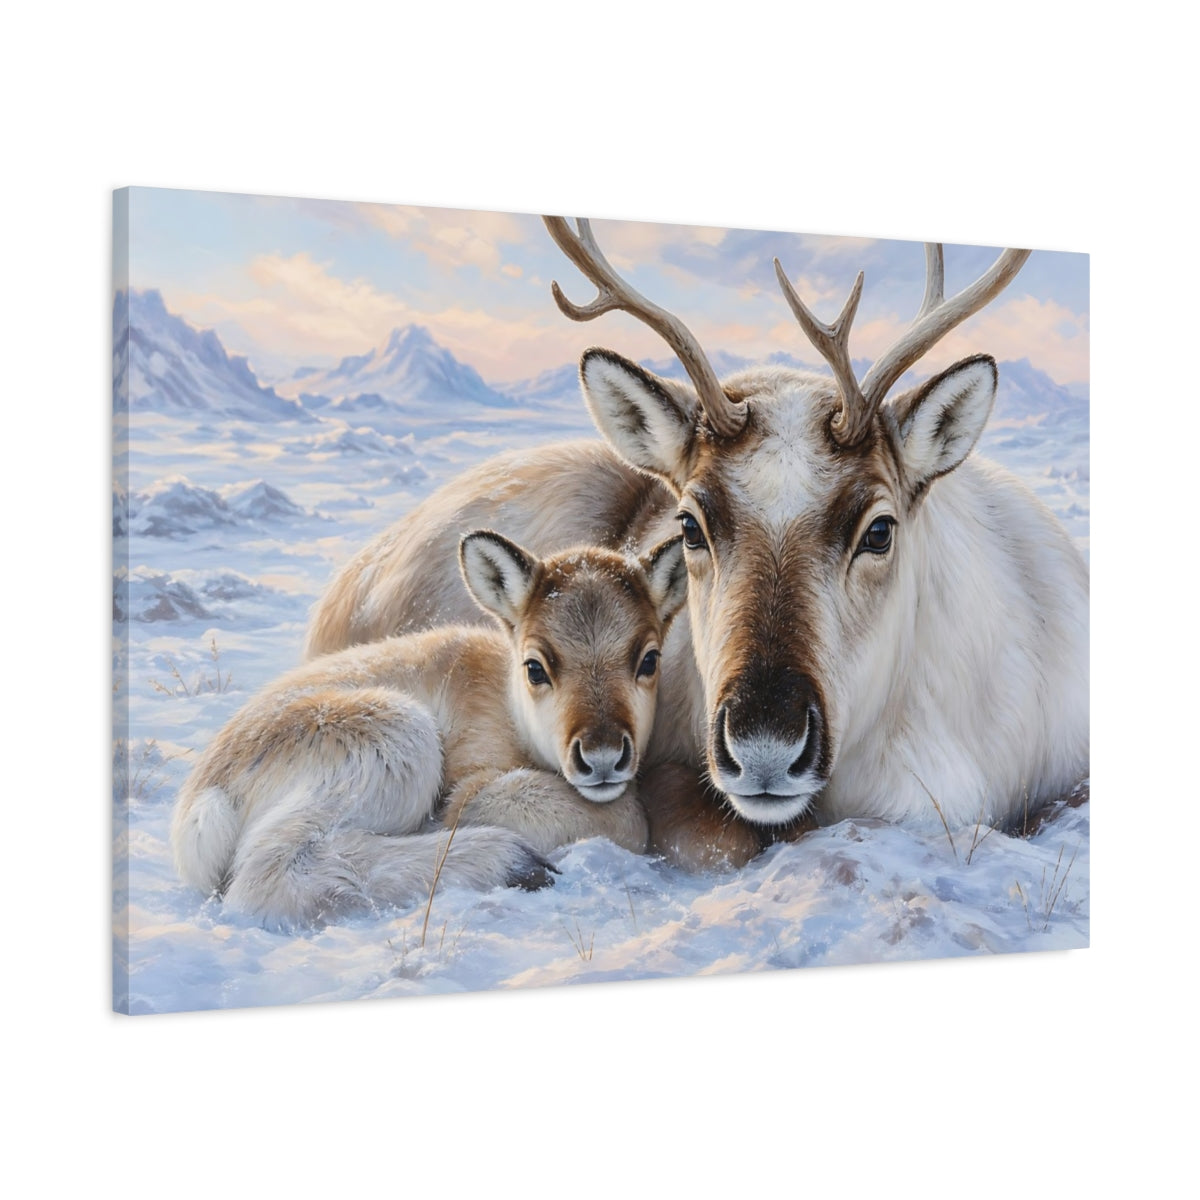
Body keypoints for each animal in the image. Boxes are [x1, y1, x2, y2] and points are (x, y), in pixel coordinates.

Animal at [170, 530, 688, 927]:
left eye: (649, 659)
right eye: (536, 667)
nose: (602, 756)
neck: (508, 706)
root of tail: (203, 795)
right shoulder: (474, 773)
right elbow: (628, 817)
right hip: (398, 739)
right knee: (267, 873)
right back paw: (513, 862)